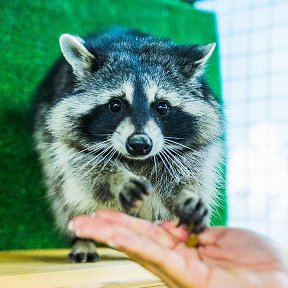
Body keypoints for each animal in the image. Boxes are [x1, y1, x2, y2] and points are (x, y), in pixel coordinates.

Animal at [32, 28, 224, 260]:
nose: (139, 143)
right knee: (65, 193)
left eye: (162, 107)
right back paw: (83, 239)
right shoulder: (65, 140)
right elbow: (86, 169)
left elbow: (187, 173)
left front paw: (186, 194)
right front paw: (118, 178)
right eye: (116, 105)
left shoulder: (194, 146)